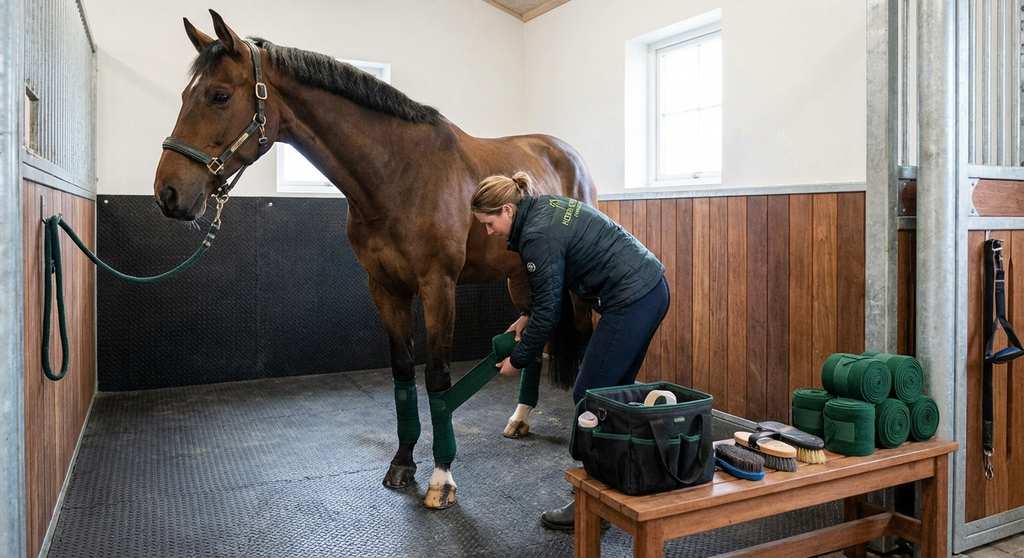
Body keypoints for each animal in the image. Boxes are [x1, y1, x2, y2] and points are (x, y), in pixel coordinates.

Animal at [153, 10, 596, 509]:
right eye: (186, 95)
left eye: (219, 95)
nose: (168, 193)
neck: (398, 174)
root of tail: (565, 154)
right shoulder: (384, 287)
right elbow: (402, 373)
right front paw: (402, 464)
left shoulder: (438, 286)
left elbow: (437, 377)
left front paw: (442, 478)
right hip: (519, 275)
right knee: (534, 334)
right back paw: (519, 418)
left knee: (583, 336)